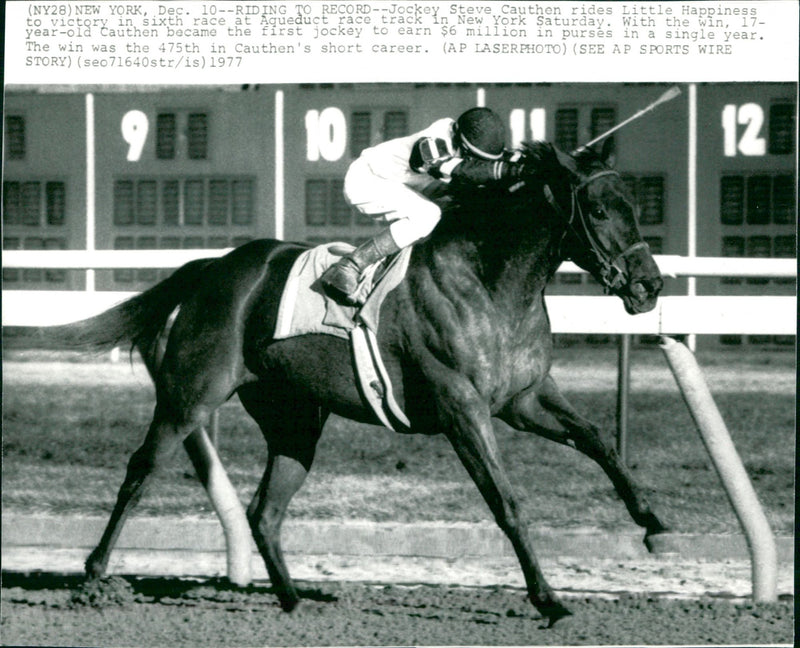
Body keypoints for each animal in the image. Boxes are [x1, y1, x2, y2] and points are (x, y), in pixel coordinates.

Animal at [50, 139, 668, 624]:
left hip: (294, 420)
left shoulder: (524, 398)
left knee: (264, 511)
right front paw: (549, 600)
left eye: (635, 206)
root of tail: (215, 267)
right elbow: (506, 500)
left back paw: (294, 600)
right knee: (140, 471)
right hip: (190, 396)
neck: (488, 283)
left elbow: (599, 441)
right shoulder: (462, 409)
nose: (650, 286)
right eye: (599, 208)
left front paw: (653, 524)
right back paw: (93, 577)